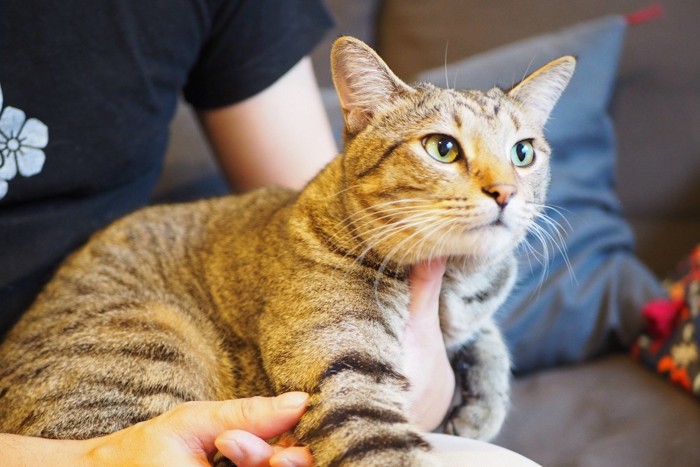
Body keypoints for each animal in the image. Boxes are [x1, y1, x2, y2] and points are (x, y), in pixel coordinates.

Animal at [0, 37, 576, 467]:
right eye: (443, 148)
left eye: (523, 152)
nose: (506, 192)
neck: (453, 278)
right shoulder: (346, 374)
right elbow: (385, 447)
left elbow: (489, 340)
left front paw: (482, 405)